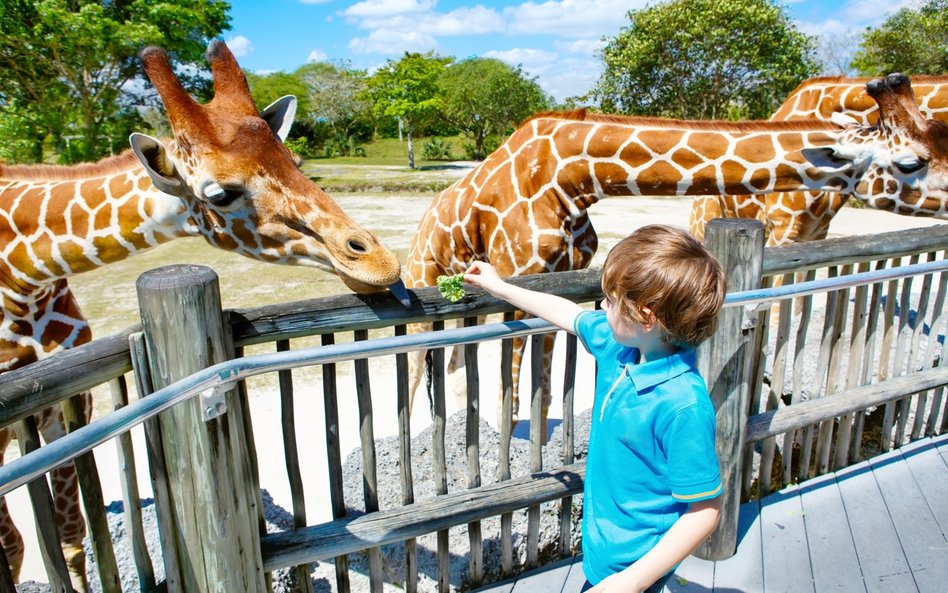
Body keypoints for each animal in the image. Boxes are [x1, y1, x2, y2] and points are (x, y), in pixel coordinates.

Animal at [0, 40, 404, 588]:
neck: (25, 274)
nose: (380, 263)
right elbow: (20, 544)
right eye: (220, 194)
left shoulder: (65, 404)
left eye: (295, 160)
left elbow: (69, 538)